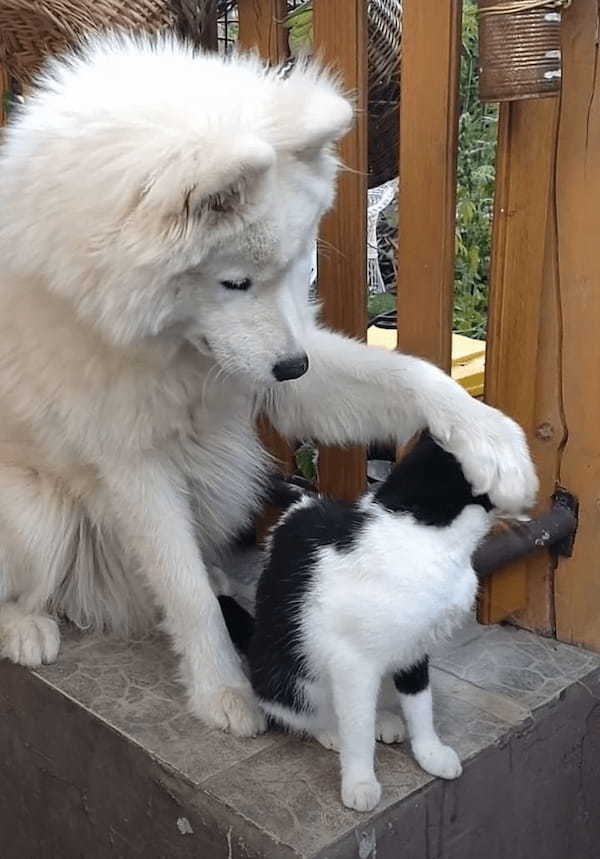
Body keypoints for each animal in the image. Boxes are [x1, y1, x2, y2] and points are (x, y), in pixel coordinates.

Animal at [0, 30, 536, 736]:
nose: (292, 367)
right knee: (34, 584)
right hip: (36, 511)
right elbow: (182, 589)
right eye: (234, 282)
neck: (163, 342)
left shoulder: (282, 366)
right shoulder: (131, 461)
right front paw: (223, 689)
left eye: (296, 266)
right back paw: (26, 627)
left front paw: (491, 441)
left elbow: (412, 371)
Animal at [218, 436, 494, 812]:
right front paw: (360, 781)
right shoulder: (353, 663)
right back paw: (331, 731)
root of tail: (303, 502)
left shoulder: (415, 651)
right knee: (309, 710)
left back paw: (385, 720)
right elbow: (358, 730)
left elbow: (421, 705)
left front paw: (430, 753)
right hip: (289, 674)